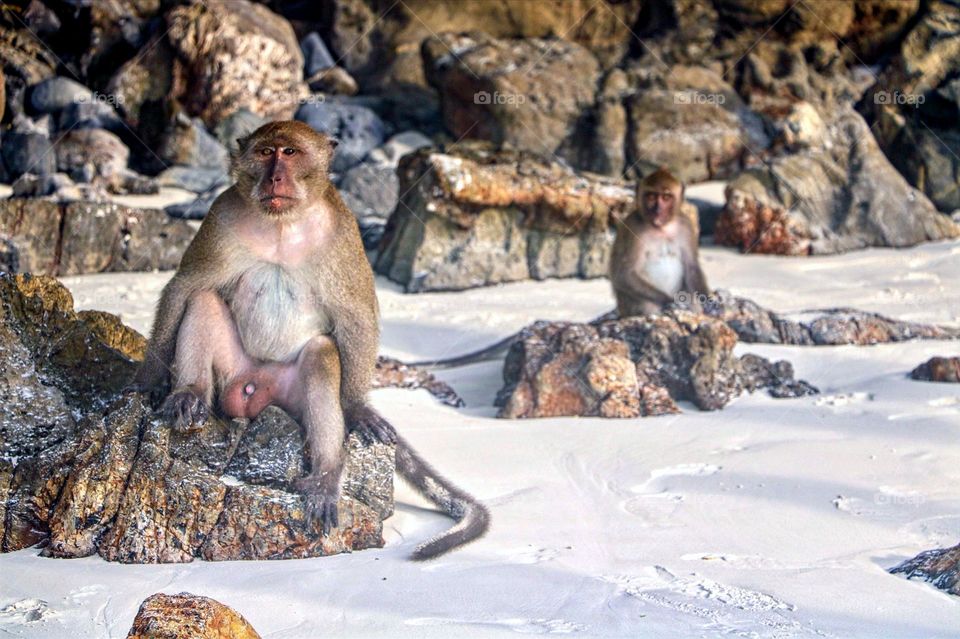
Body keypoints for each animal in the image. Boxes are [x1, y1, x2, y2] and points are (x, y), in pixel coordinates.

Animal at [129, 121, 488, 560]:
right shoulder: (221, 216)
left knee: (322, 354)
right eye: (265, 152)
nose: (275, 176)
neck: (282, 221)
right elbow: (185, 288)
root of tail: (255, 387)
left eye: (290, 152)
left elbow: (356, 315)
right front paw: (149, 379)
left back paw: (327, 473)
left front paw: (357, 408)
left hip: (288, 394)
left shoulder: (344, 230)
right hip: (233, 376)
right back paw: (190, 394)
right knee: (204, 301)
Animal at [609, 167, 709, 318]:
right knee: (647, 304)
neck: (662, 228)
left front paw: (709, 301)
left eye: (666, 197)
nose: (657, 209)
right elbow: (624, 274)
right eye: (651, 196)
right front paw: (670, 301)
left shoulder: (686, 225)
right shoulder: (633, 228)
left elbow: (691, 266)